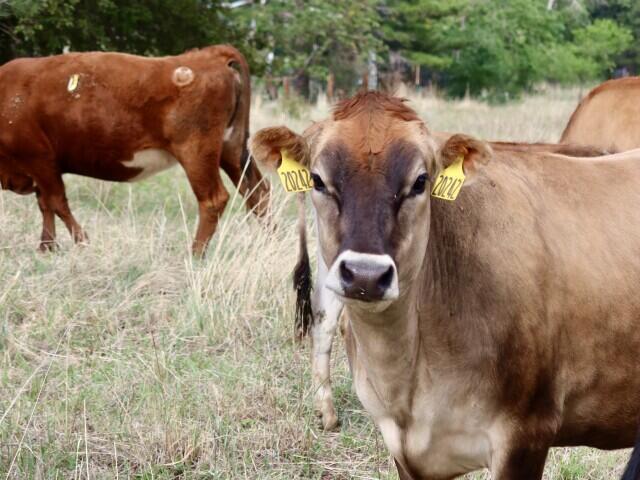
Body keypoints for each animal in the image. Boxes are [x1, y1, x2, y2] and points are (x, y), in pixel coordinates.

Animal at [0, 45, 269, 255]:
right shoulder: (40, 168)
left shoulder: (39, 158)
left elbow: (57, 202)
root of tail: (210, 54)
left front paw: (82, 242)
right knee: (257, 191)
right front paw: (47, 247)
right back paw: (269, 241)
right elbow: (45, 204)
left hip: (197, 152)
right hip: (231, 148)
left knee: (213, 199)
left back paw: (195, 253)